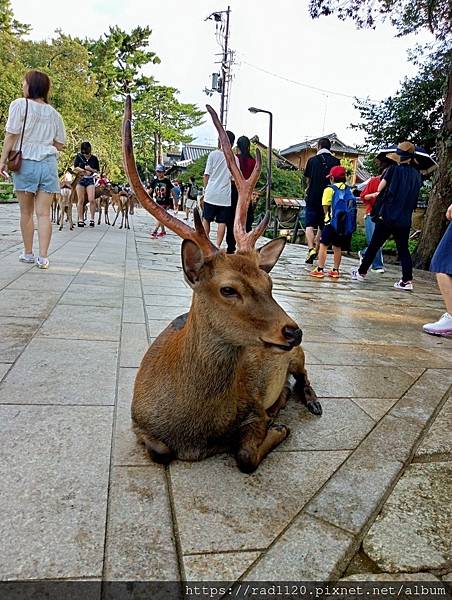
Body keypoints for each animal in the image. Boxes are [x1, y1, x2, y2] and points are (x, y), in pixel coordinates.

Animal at [123, 96, 322, 474]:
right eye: (228, 289)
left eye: (269, 282)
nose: (294, 331)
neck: (194, 431)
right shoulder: (138, 421)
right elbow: (160, 452)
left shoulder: (254, 408)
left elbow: (245, 456)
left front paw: (280, 426)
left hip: (297, 356)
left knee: (305, 375)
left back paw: (310, 401)